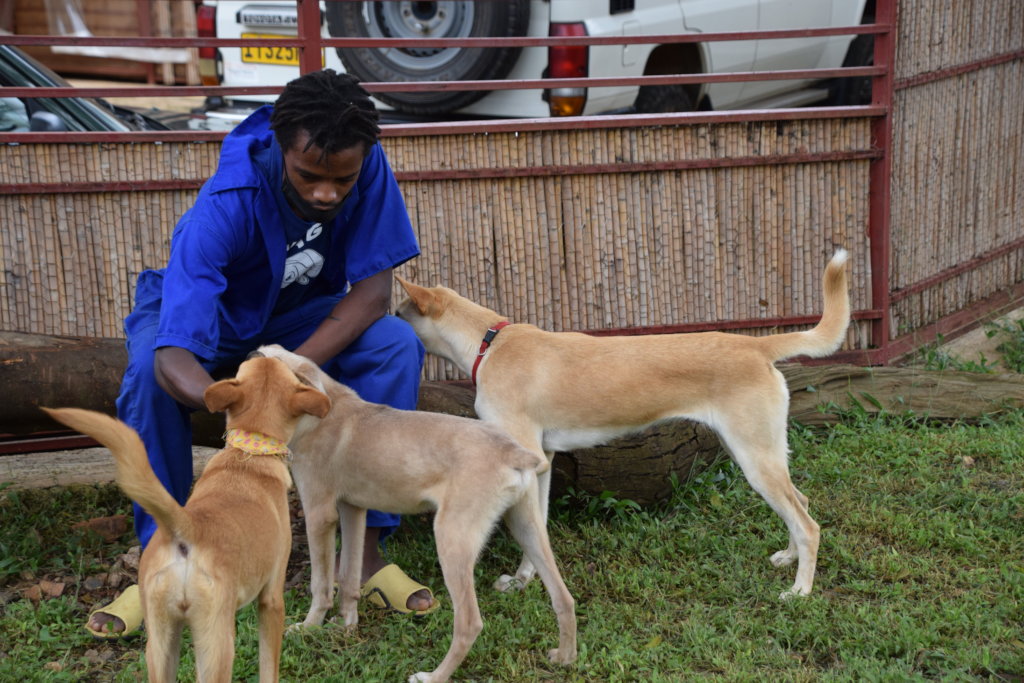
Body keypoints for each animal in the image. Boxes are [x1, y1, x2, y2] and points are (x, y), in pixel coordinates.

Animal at [44, 358, 329, 683]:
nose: (261, 351)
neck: (246, 457)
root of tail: (189, 526)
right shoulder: (271, 600)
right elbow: (269, 667)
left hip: (160, 644)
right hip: (216, 644)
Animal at [254, 344, 577, 683]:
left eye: (263, 363)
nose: (248, 354)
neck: (325, 409)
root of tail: (514, 452)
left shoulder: (319, 513)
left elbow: (321, 584)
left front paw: (308, 627)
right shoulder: (353, 509)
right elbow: (349, 576)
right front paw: (346, 627)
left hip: (452, 538)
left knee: (470, 622)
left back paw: (433, 676)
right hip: (526, 525)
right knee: (563, 597)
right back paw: (564, 657)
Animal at [395, 249, 851, 598]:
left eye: (399, 313)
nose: (387, 318)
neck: (490, 344)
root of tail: (756, 345)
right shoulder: (541, 461)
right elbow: (537, 529)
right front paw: (526, 580)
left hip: (755, 459)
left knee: (809, 525)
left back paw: (800, 591)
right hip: (761, 454)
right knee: (800, 503)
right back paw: (788, 558)